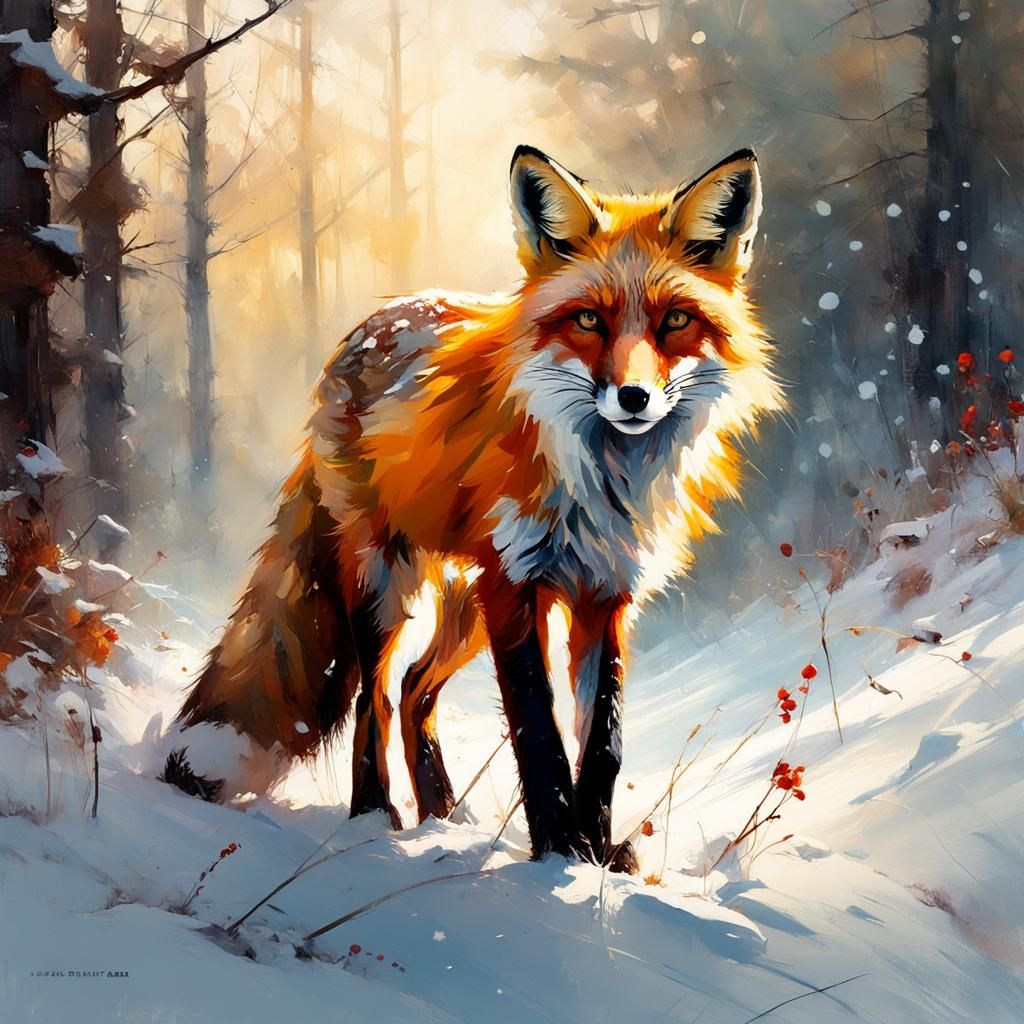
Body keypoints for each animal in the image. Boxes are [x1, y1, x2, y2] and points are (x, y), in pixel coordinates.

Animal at [161, 145, 783, 872]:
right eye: (589, 320)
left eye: (675, 321)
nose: (632, 398)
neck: (605, 483)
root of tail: (356, 336)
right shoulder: (516, 584)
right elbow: (539, 733)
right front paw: (557, 851)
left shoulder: (606, 593)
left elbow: (603, 741)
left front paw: (596, 854)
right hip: (389, 589)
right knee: (374, 697)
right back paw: (375, 818)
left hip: (465, 608)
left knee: (413, 694)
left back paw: (443, 816)